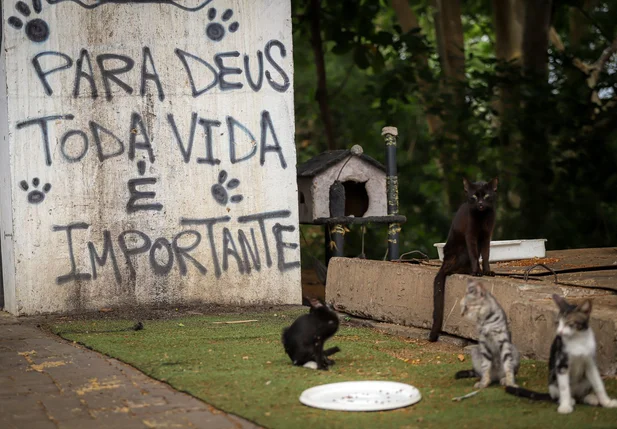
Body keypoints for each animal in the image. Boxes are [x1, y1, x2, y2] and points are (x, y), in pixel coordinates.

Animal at [428, 177, 500, 342]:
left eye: (486, 196)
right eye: (474, 196)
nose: (480, 204)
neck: (482, 217)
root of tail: (444, 262)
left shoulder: (487, 236)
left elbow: (486, 255)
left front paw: (487, 271)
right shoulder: (471, 236)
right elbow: (475, 255)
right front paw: (477, 272)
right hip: (462, 250)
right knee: (453, 270)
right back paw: (469, 271)